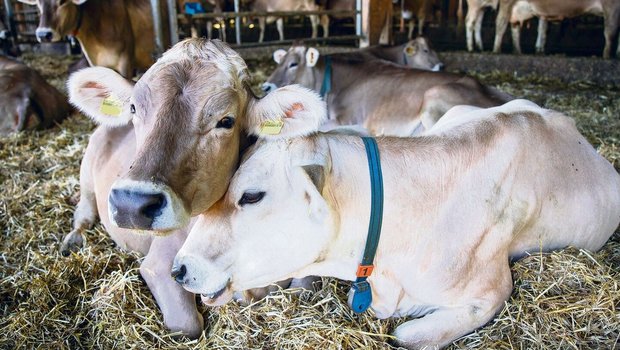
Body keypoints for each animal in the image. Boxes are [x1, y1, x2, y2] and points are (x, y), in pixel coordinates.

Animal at [63, 39, 324, 338]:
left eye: (226, 121)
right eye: (133, 109)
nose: (131, 203)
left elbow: (304, 287)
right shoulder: (159, 263)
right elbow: (186, 325)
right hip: (87, 167)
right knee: (84, 209)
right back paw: (73, 239)